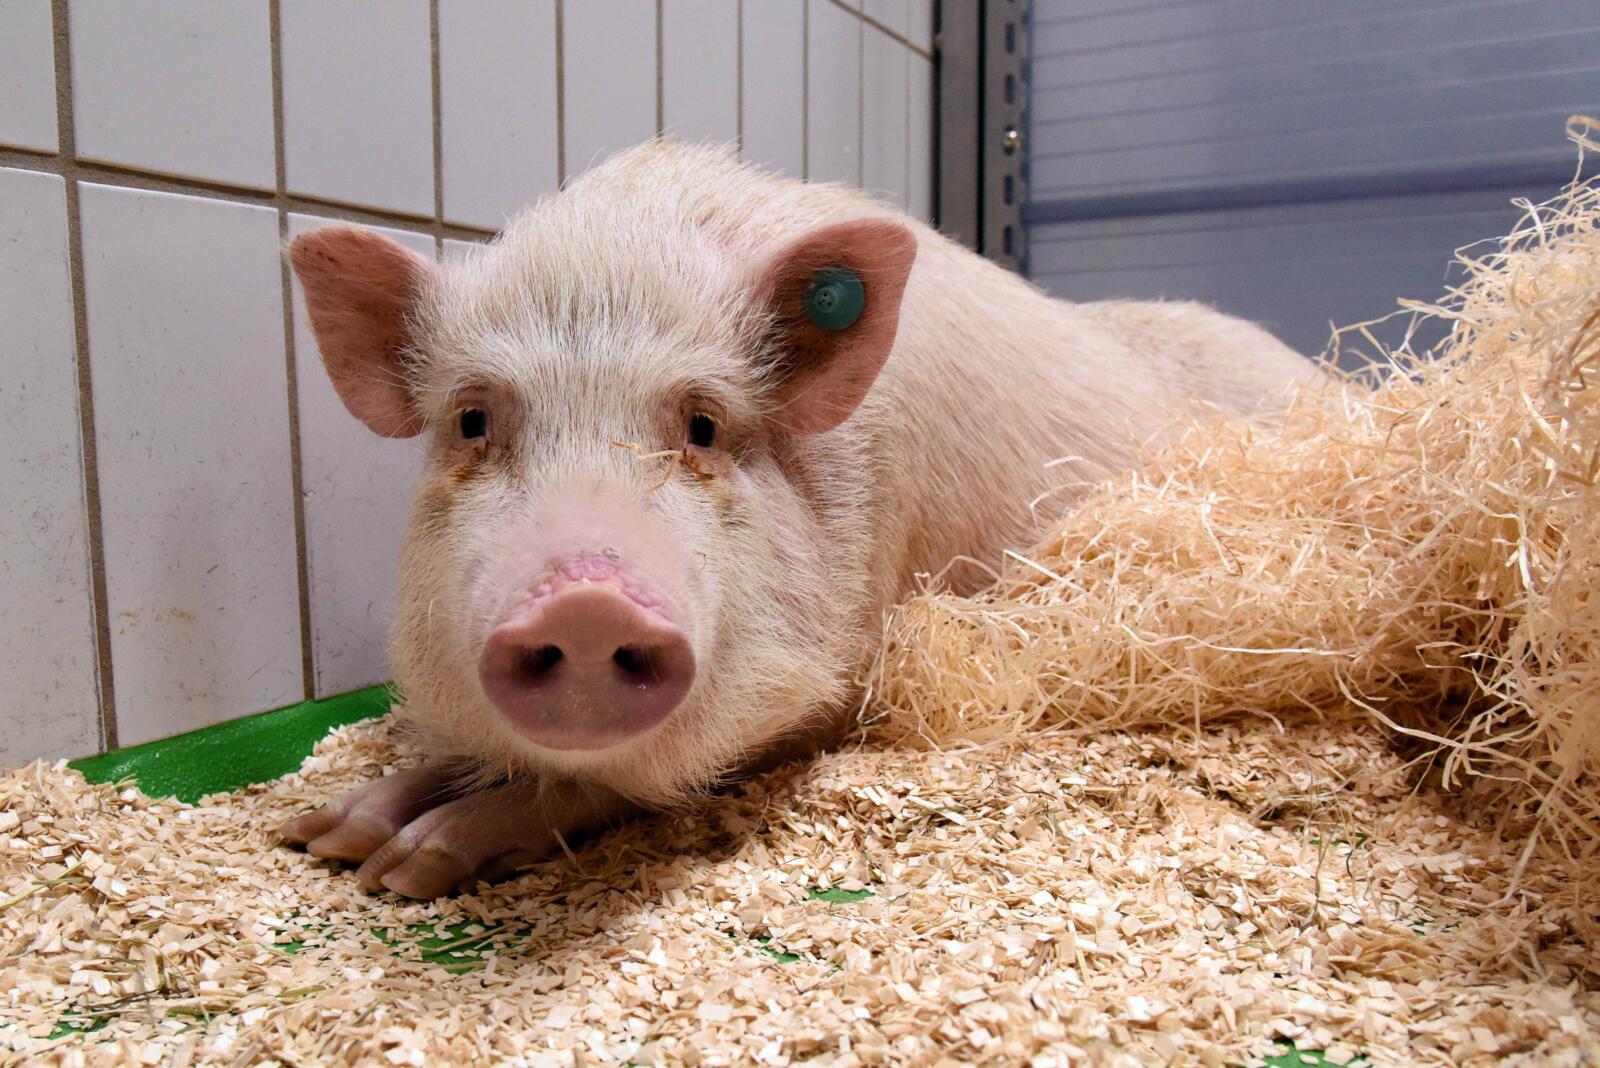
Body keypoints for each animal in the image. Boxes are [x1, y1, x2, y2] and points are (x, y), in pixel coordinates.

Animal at [279, 140, 1313, 898]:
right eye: (472, 421)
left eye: (702, 426)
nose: (584, 602)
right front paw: (325, 837)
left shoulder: (843, 683)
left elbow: (594, 781)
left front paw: (405, 867)